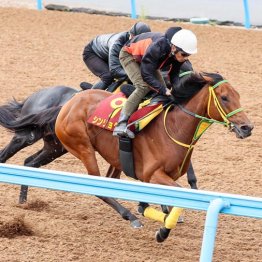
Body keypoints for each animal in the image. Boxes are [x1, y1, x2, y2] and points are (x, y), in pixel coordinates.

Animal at [54, 71, 253, 242]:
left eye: (238, 95)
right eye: (224, 97)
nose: (247, 128)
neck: (174, 127)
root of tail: (71, 101)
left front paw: (157, 216)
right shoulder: (153, 174)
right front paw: (162, 231)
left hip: (116, 159)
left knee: (110, 182)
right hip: (83, 147)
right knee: (98, 187)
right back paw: (131, 217)